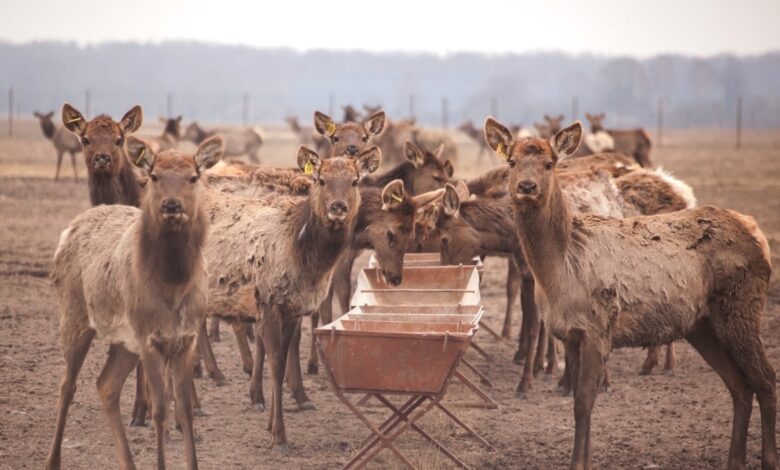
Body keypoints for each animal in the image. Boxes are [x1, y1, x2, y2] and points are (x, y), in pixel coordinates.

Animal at [46, 133, 222, 470]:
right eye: (154, 176)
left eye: (193, 177)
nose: (171, 205)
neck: (173, 285)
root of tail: (67, 231)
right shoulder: (149, 339)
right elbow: (160, 412)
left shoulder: (185, 338)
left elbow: (185, 412)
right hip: (74, 316)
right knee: (66, 385)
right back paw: (52, 460)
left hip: (124, 341)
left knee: (106, 385)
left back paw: (126, 462)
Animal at [484, 117, 776, 470]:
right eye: (511, 162)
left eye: (549, 164)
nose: (527, 187)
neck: (557, 271)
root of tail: (758, 234)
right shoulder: (570, 334)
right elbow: (576, 398)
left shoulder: (597, 328)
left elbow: (583, 402)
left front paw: (578, 463)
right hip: (703, 326)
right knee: (739, 386)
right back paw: (735, 460)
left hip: (743, 305)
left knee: (765, 378)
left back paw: (768, 459)